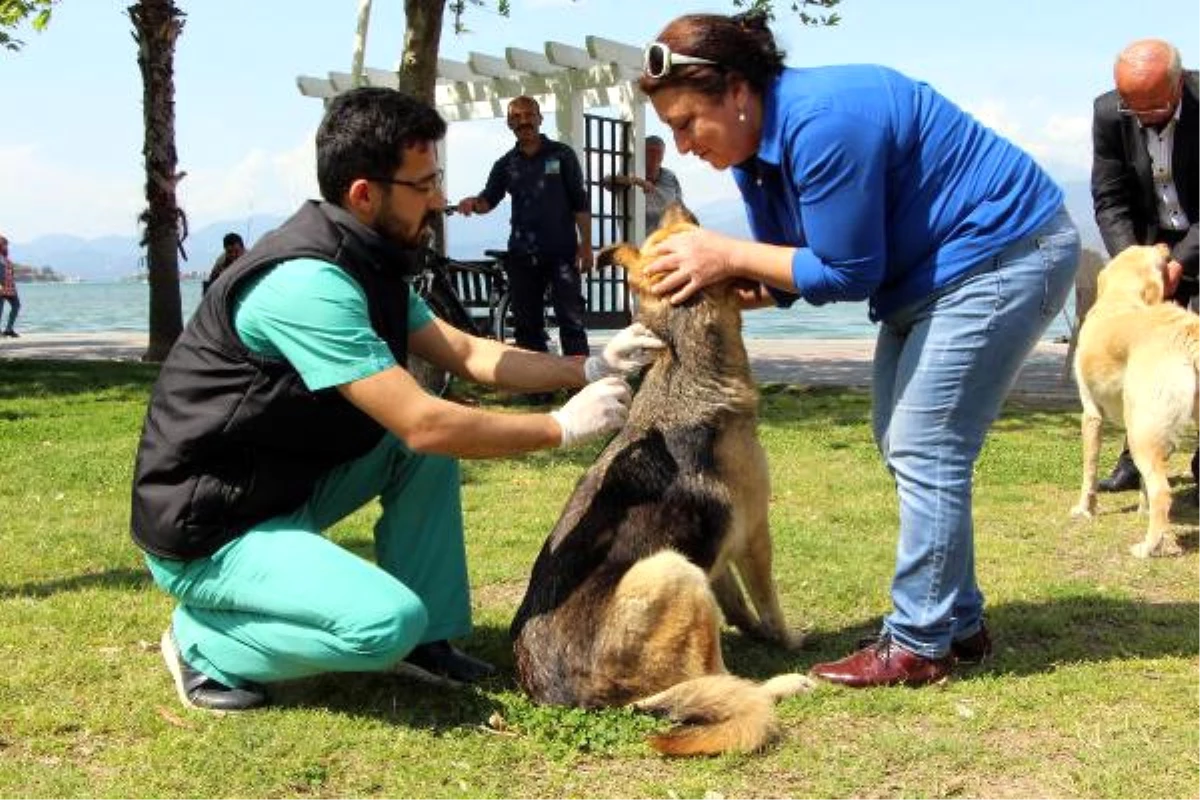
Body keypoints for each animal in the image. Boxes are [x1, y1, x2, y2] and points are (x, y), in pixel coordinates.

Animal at [511, 206, 811, 758]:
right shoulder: (755, 533)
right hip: (670, 568)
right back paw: (784, 683)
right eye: (690, 232)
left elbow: (735, 602)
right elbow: (767, 600)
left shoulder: (718, 548)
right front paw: (785, 640)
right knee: (720, 680)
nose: (669, 204)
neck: (680, 358)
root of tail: (580, 701)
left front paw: (752, 630)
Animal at [1070, 244, 1200, 556]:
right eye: (1152, 250)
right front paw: (1143, 511)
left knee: (1163, 491)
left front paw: (1084, 510)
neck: (1121, 298)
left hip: (1141, 431)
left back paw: (1149, 547)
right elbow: (1142, 484)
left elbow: (1089, 471)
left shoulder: (1091, 414)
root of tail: (1185, 330)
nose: (1166, 245)